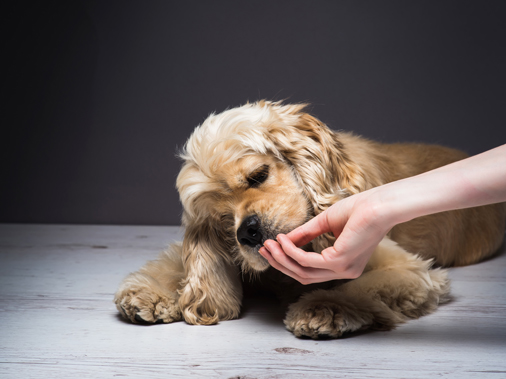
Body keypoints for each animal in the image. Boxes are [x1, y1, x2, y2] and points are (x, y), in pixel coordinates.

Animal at [114, 100, 506, 338]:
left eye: (257, 175)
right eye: (223, 217)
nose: (248, 232)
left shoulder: (413, 271)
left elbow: (362, 286)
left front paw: (324, 308)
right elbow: (180, 263)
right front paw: (150, 292)